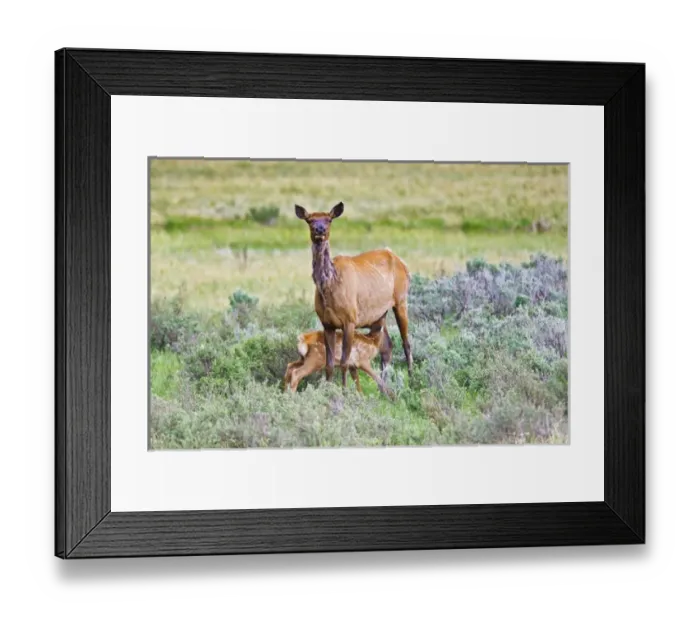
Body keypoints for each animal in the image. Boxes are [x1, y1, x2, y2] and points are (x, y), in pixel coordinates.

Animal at [294, 201, 412, 389]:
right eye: (309, 220)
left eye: (329, 220)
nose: (320, 229)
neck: (329, 287)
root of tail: (402, 262)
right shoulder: (327, 323)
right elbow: (329, 364)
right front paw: (329, 390)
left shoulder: (350, 320)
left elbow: (344, 361)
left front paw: (343, 390)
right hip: (379, 314)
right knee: (387, 346)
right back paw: (383, 387)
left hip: (401, 300)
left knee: (406, 343)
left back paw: (412, 382)